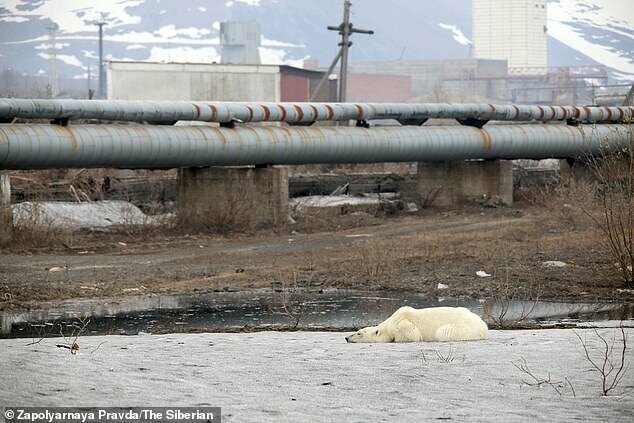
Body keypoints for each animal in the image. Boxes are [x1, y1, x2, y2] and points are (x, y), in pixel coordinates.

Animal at [344, 306, 486, 342]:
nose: (346, 337)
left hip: (462, 328)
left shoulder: (402, 321)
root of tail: (483, 326)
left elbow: (412, 333)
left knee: (443, 332)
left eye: (359, 333)